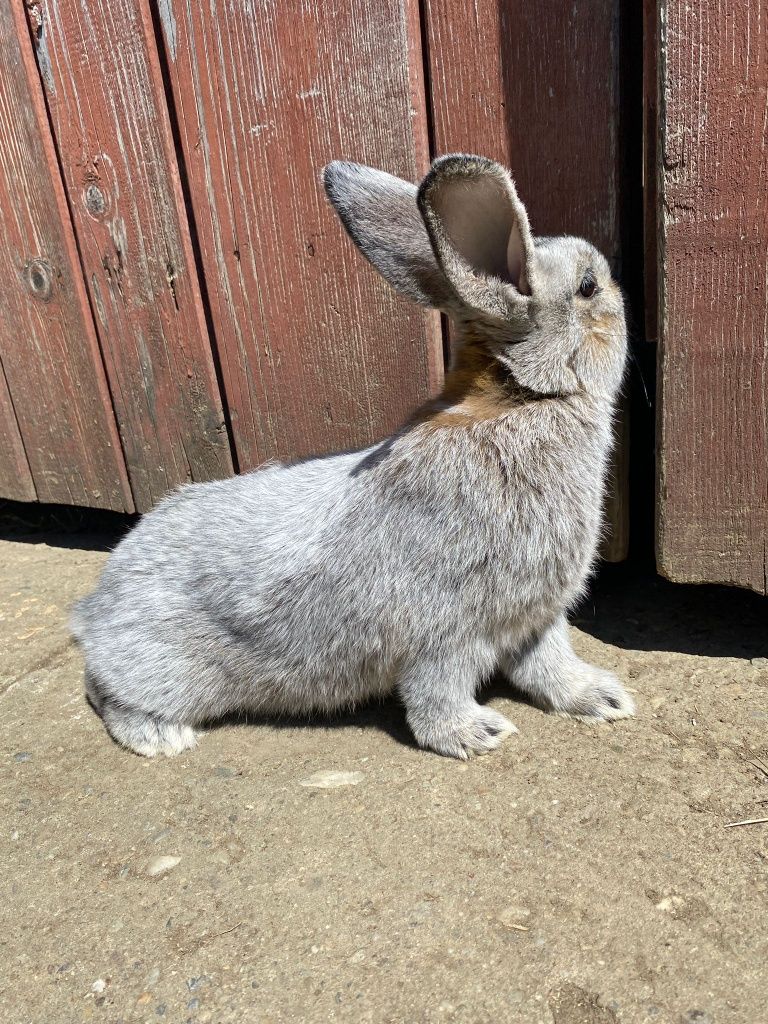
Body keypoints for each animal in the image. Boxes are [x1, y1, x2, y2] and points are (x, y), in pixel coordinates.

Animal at [72, 151, 634, 761]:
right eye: (586, 287)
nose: (618, 284)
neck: (521, 401)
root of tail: (95, 608)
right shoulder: (446, 634)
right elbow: (436, 696)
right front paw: (476, 734)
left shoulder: (537, 618)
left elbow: (551, 667)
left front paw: (604, 699)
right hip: (159, 670)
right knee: (105, 690)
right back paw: (161, 738)